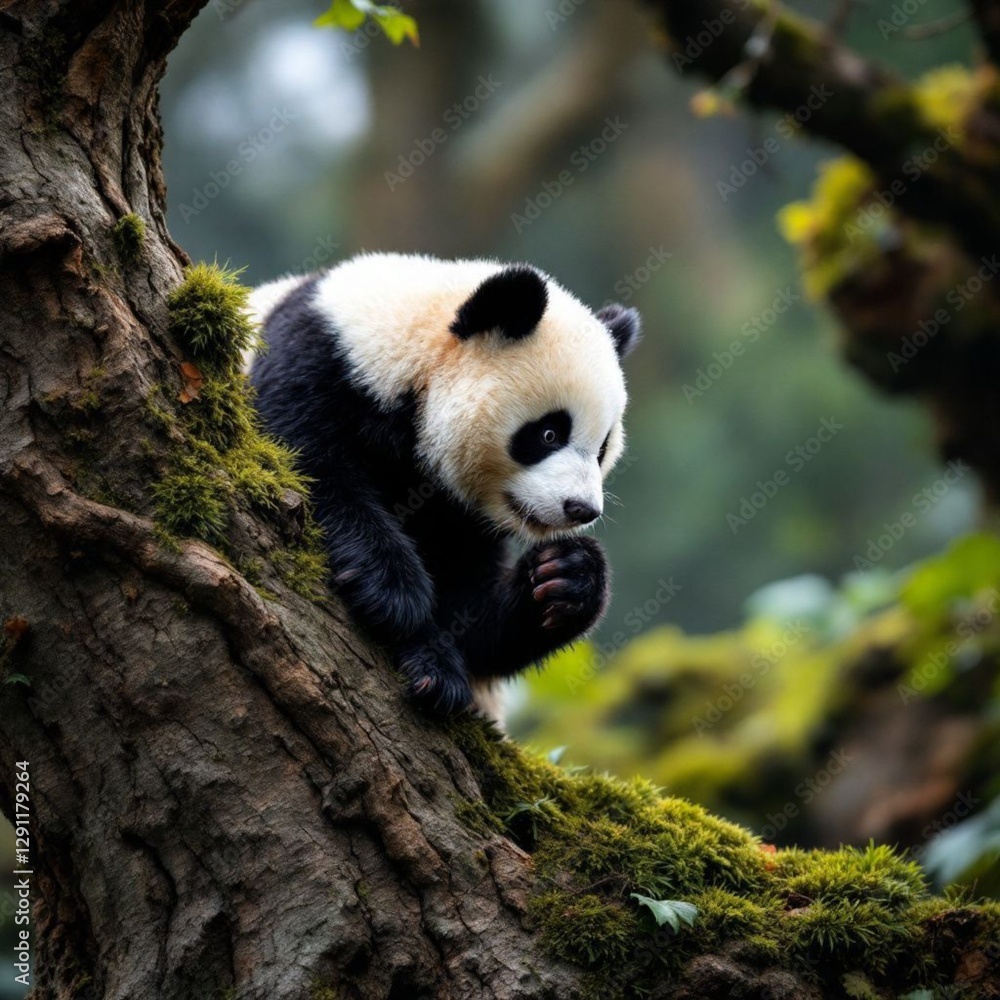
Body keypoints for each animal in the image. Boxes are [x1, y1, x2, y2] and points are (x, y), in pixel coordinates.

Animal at [246, 253, 640, 718]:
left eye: (602, 449)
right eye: (548, 434)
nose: (581, 508)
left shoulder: (462, 519)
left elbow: (475, 627)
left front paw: (567, 577)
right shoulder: (315, 361)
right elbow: (308, 466)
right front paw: (394, 591)